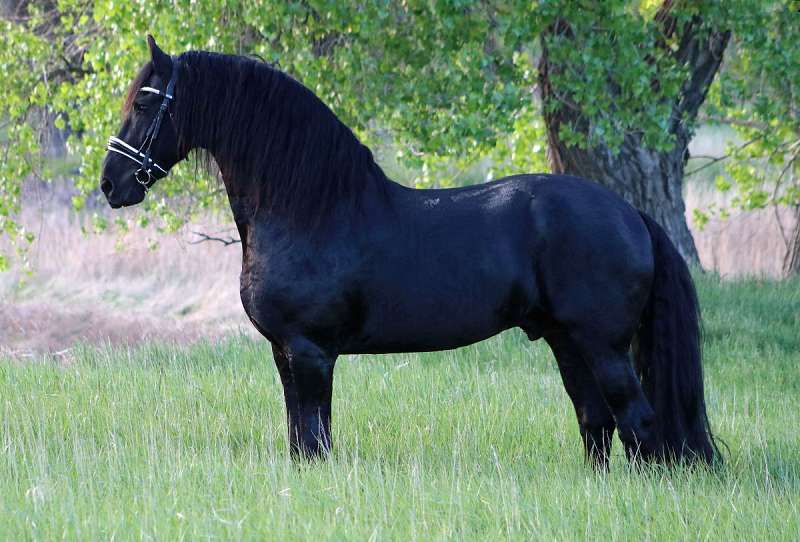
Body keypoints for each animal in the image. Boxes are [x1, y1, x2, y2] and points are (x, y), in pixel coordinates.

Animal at [100, 35, 718, 467]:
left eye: (147, 103)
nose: (111, 184)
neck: (311, 208)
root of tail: (629, 213)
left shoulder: (310, 352)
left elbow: (316, 440)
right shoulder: (285, 354)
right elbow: (301, 439)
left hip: (604, 345)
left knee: (637, 421)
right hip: (567, 341)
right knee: (596, 420)